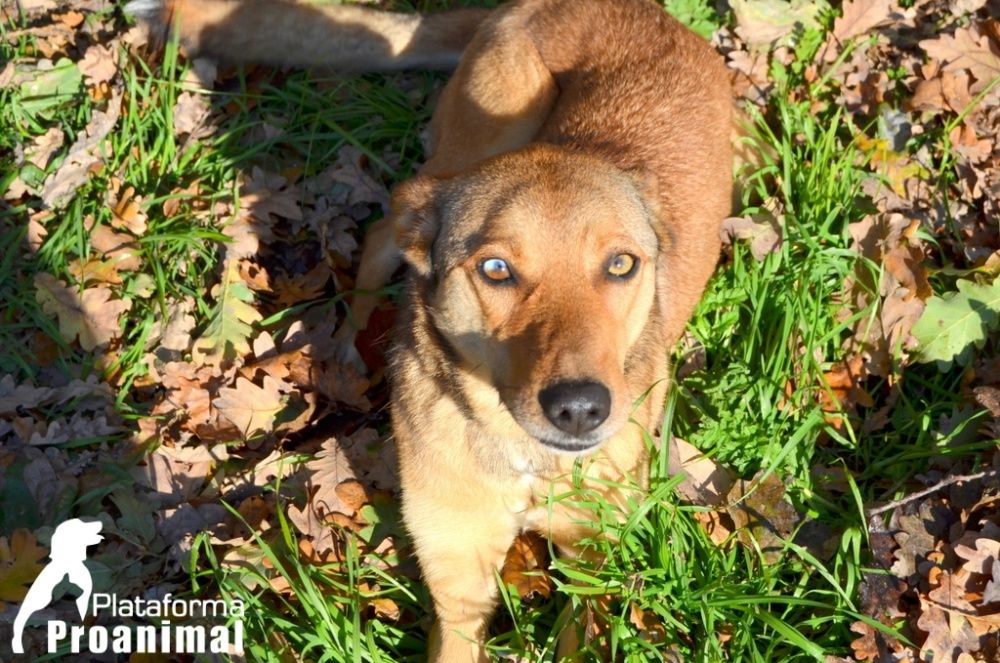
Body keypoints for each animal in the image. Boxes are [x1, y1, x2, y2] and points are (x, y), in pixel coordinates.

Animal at [129, 2, 732, 660]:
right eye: (495, 270)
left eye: (621, 264)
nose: (579, 409)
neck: (525, 463)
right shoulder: (458, 577)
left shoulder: (590, 572)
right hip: (483, 134)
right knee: (387, 226)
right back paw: (351, 343)